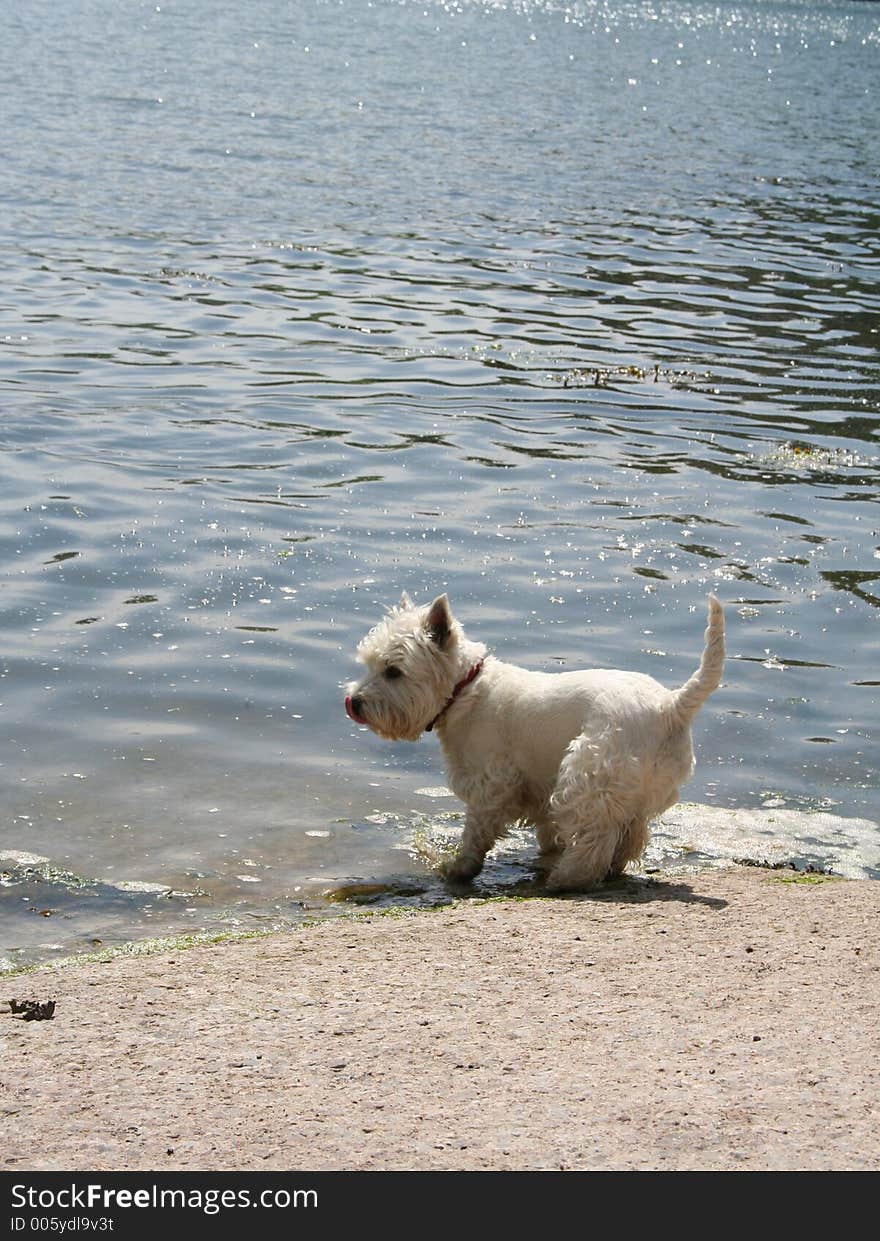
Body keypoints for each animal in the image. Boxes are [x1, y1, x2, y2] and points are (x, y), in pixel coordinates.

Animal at [342, 593, 719, 893]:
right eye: (369, 664)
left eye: (393, 671)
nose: (353, 702)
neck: (465, 691)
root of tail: (670, 707)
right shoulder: (536, 787)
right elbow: (546, 830)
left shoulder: (491, 782)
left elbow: (477, 831)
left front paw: (459, 868)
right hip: (632, 789)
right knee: (629, 835)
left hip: (587, 774)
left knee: (594, 838)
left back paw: (565, 878)